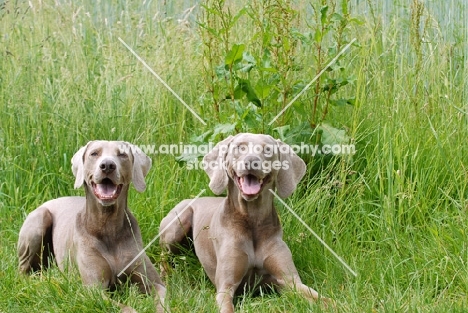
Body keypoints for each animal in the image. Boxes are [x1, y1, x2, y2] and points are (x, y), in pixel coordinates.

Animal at [18, 140, 168, 310]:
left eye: (122, 154)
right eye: (94, 153)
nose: (107, 165)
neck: (108, 225)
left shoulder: (156, 284)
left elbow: (161, 300)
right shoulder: (93, 291)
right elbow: (125, 307)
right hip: (39, 220)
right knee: (23, 271)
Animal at [159, 133, 328, 312]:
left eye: (268, 149)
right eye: (240, 147)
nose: (252, 161)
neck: (252, 220)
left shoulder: (290, 282)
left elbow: (325, 300)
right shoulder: (225, 287)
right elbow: (227, 307)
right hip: (177, 223)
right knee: (163, 256)